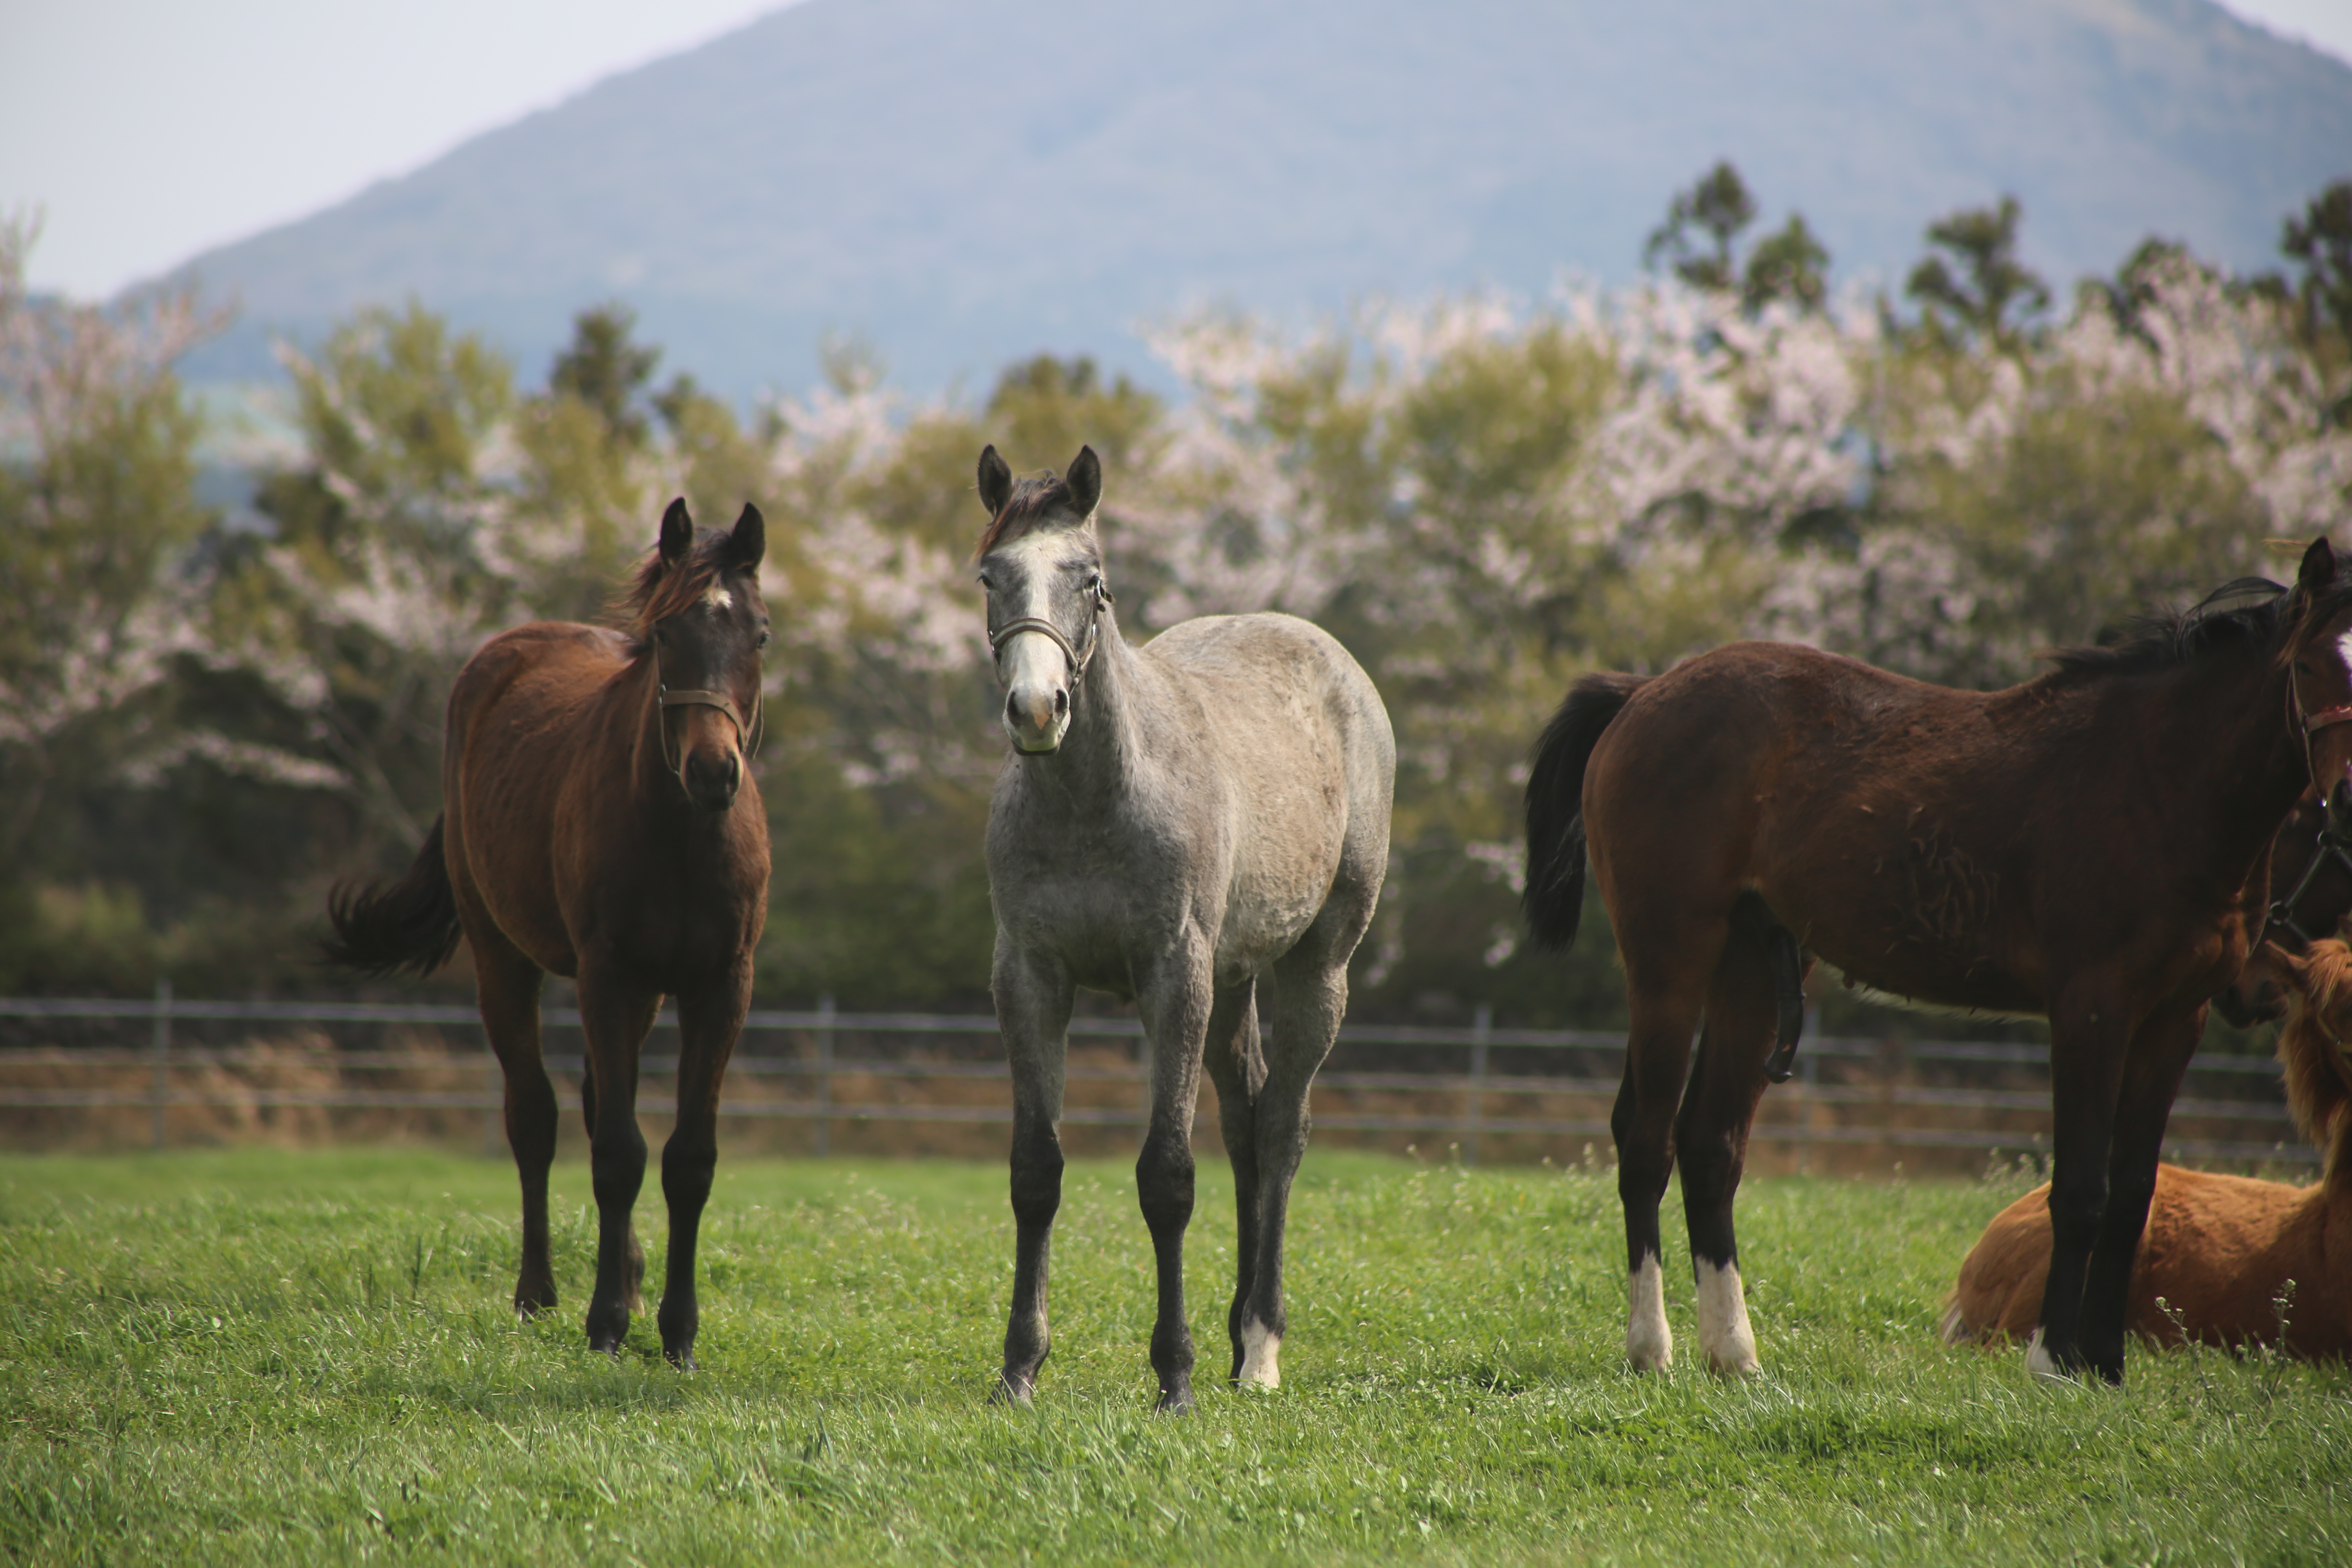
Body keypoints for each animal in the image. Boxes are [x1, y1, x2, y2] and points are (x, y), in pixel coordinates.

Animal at [324, 503, 771, 1373]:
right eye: (665, 632)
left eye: (760, 633)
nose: (714, 773)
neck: (682, 836)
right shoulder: (606, 975)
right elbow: (619, 1154)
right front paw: (607, 1323)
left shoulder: (720, 985)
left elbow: (688, 1159)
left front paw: (677, 1332)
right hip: (506, 960)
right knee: (535, 1116)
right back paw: (539, 1293)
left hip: (641, 994)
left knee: (595, 1104)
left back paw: (627, 1277)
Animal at [978, 442, 1392, 1410]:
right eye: (990, 576)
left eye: (1091, 579)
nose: (1037, 709)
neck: (1098, 800)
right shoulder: (1029, 977)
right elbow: (1035, 1171)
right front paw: (1020, 1367)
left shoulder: (1175, 977)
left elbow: (1166, 1176)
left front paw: (1174, 1374)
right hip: (1235, 980)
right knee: (1246, 1122)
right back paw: (1241, 1336)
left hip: (1315, 966)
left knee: (1280, 1132)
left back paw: (1262, 1344)